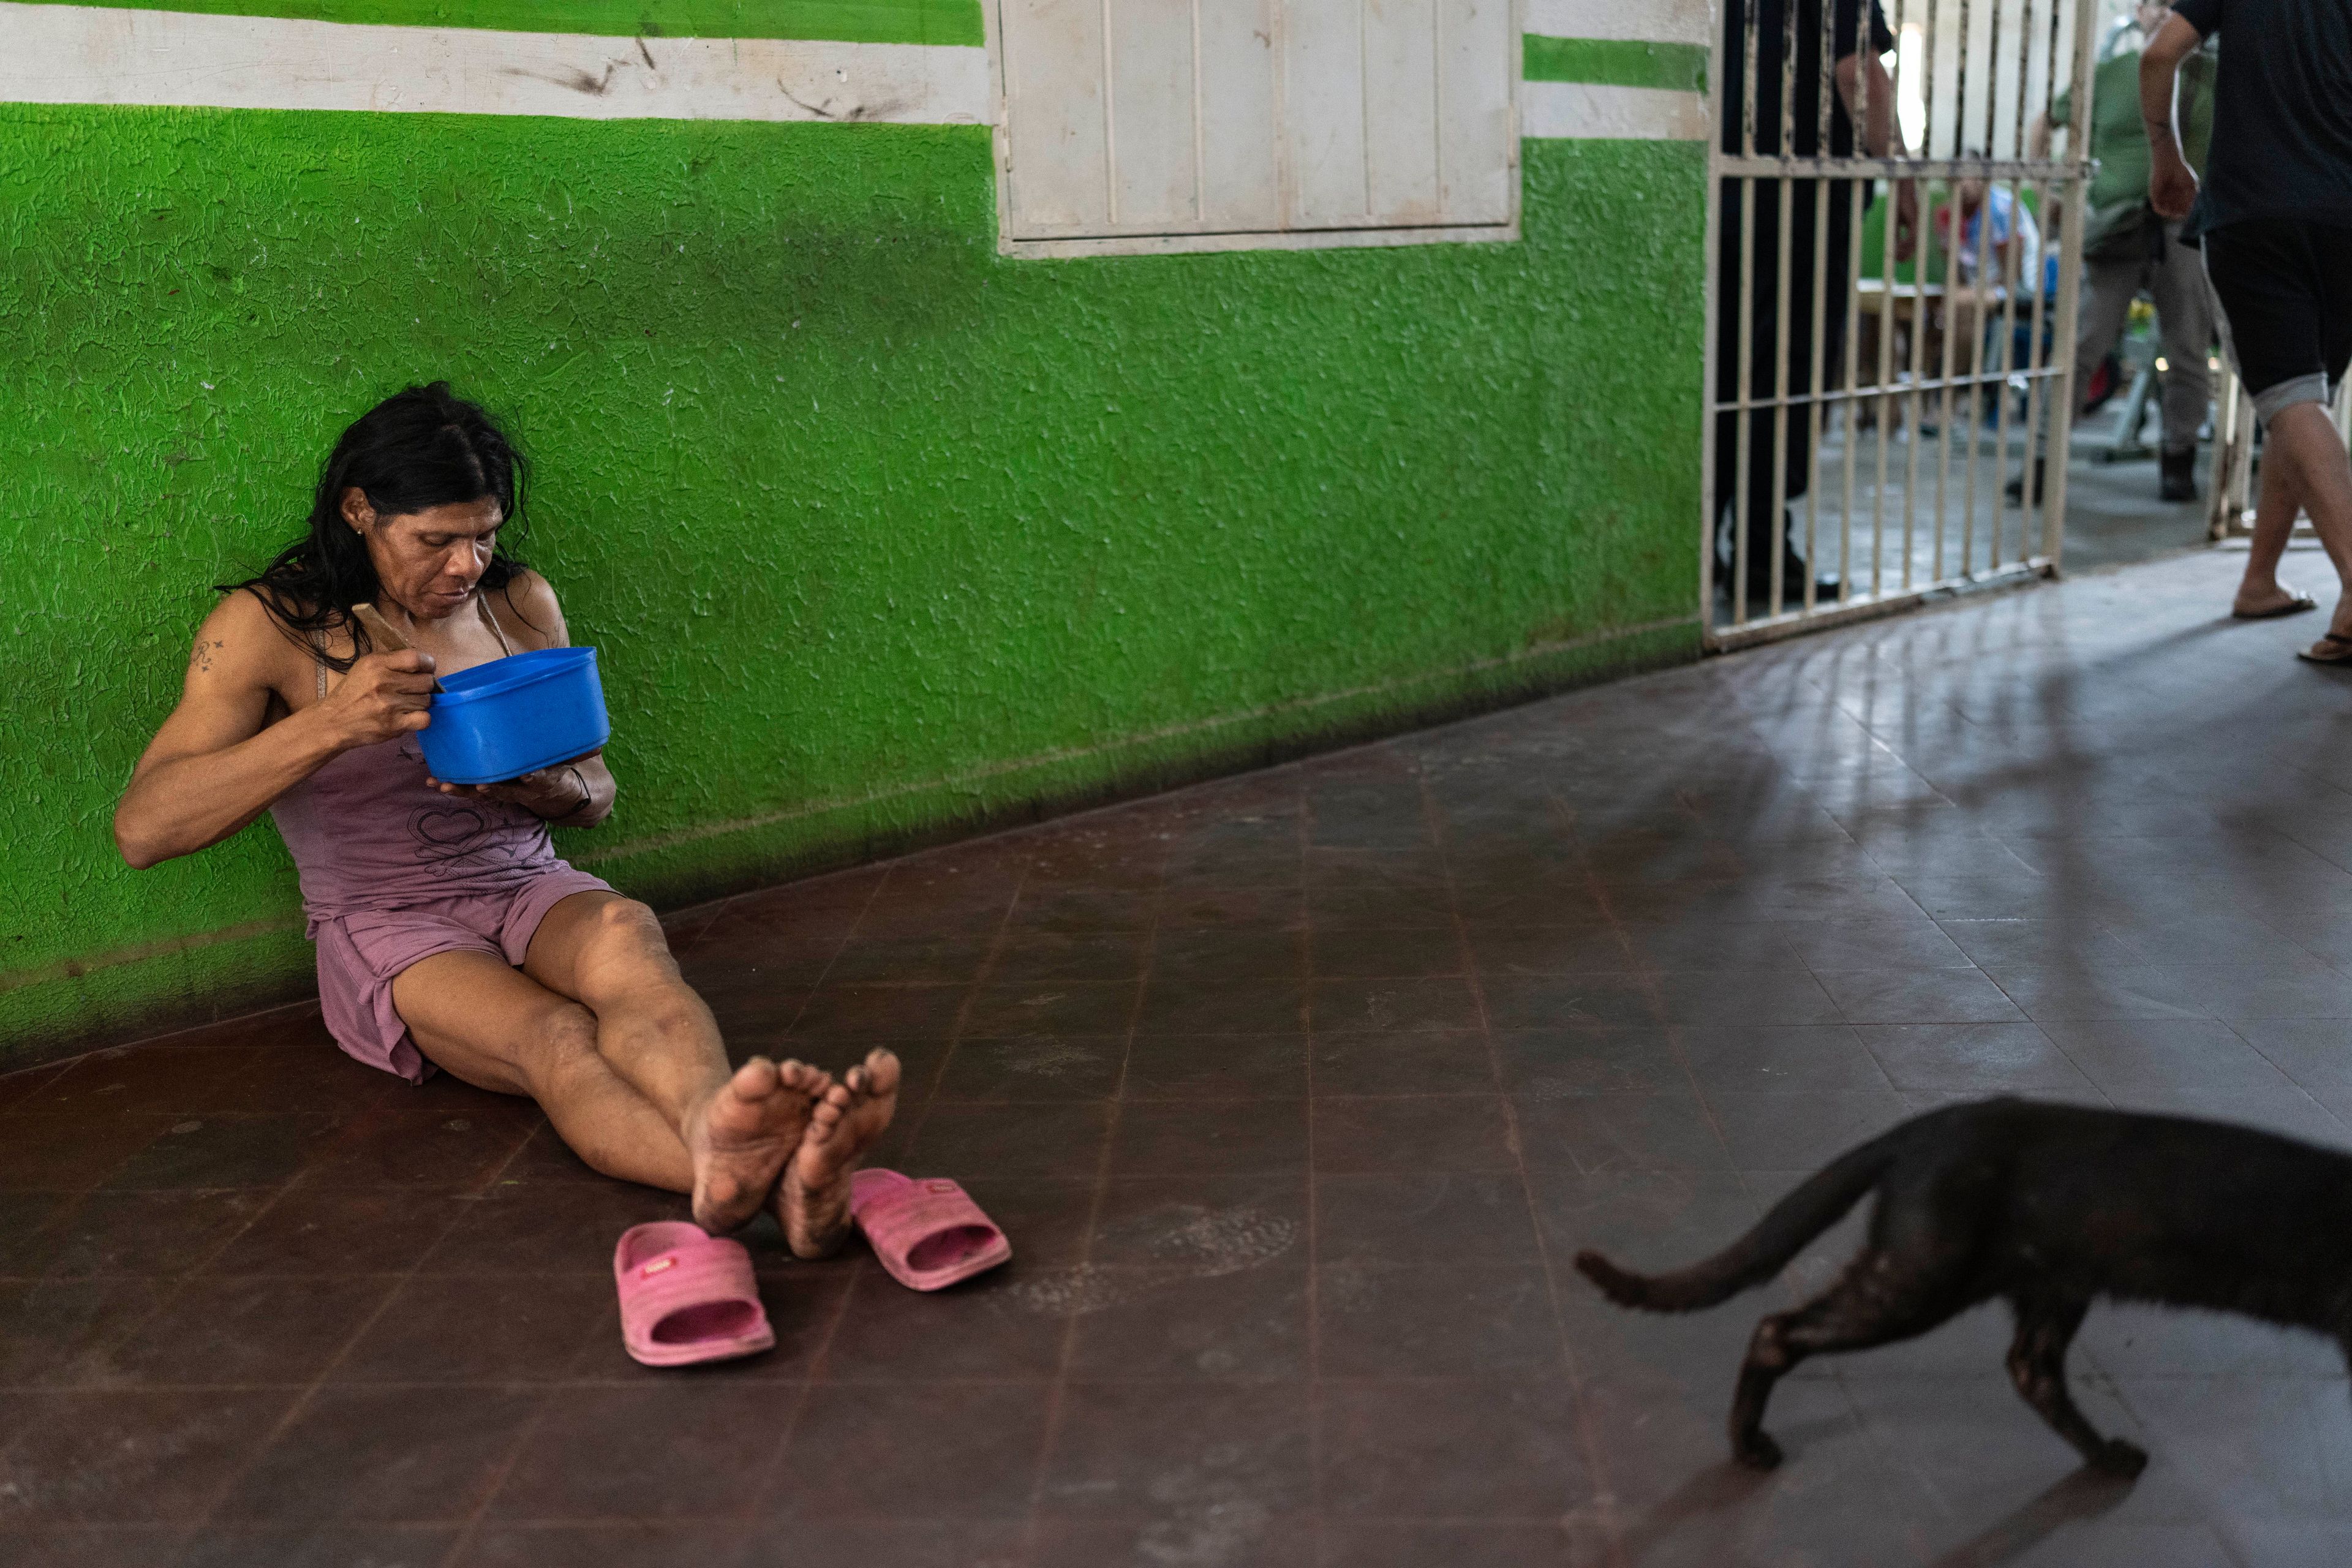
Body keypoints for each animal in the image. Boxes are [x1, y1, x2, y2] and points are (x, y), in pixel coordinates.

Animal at [1571, 1100, 2352, 1476]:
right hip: (1918, 1282)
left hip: (2049, 1285)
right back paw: (1748, 1447)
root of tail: (1921, 1128)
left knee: (2031, 1369)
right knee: (1778, 1330)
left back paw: (2109, 1459)